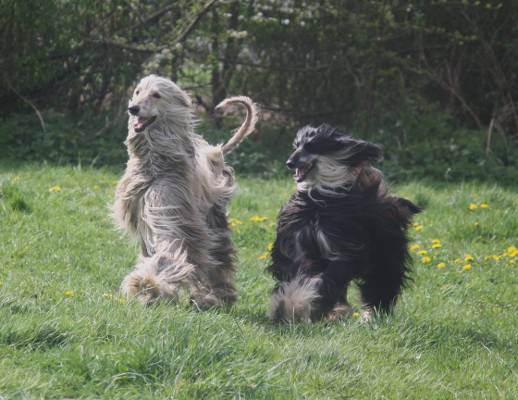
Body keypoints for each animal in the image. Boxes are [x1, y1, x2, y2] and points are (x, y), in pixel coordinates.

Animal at [113, 75, 258, 307]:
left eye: (156, 94)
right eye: (137, 92)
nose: (132, 109)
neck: (157, 164)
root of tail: (215, 152)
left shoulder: (168, 209)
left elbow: (169, 249)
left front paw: (148, 285)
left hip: (212, 218)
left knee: (219, 256)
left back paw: (214, 296)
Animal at [267, 124, 421, 322]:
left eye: (311, 145)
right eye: (296, 145)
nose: (289, 163)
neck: (319, 200)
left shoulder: (343, 251)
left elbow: (327, 278)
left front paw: (305, 304)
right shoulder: (297, 244)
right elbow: (297, 272)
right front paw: (287, 304)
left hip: (385, 254)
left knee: (382, 282)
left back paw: (371, 316)